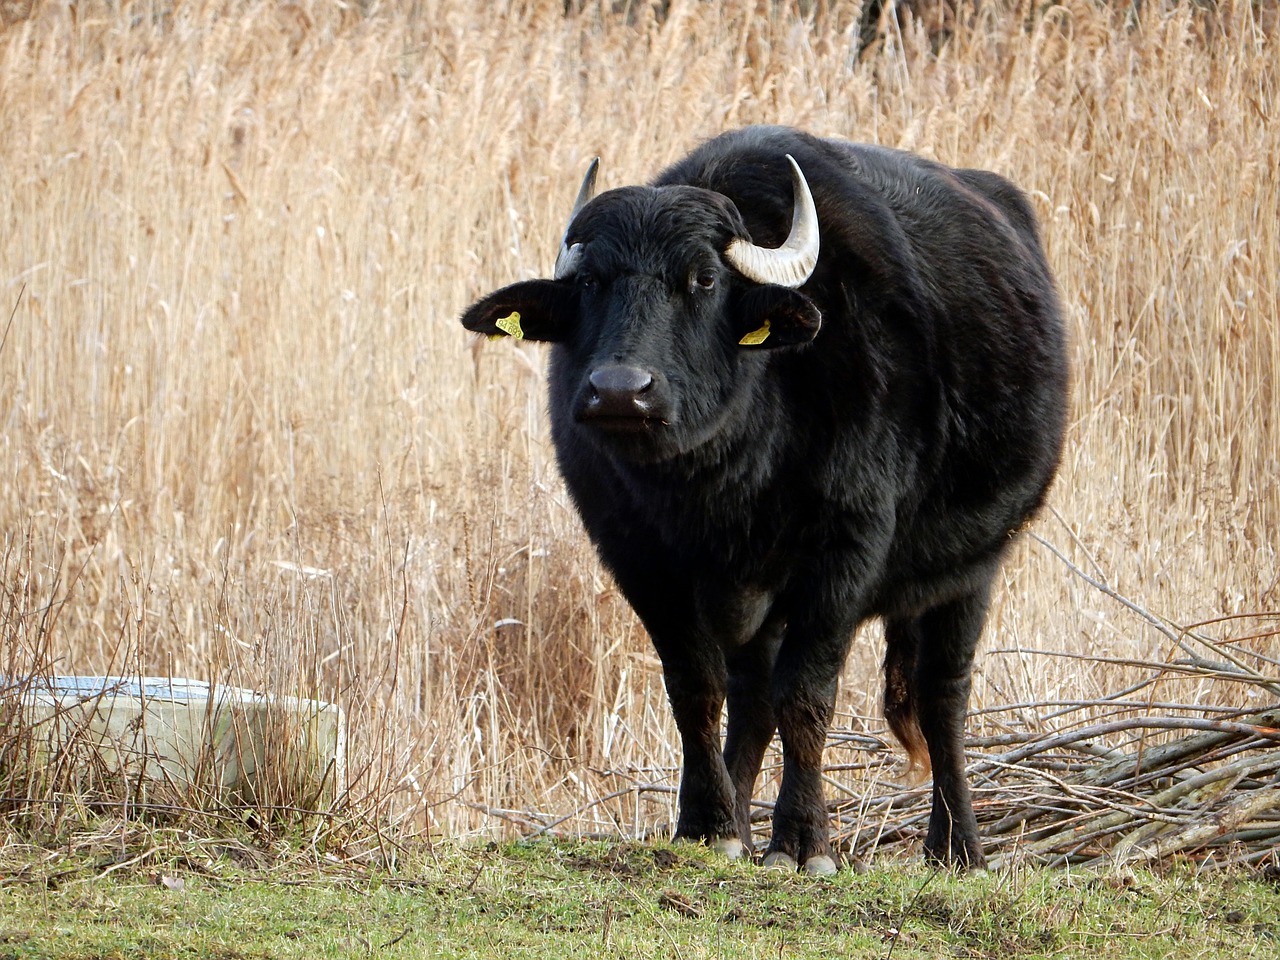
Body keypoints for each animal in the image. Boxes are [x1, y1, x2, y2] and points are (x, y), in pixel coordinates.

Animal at [461, 125, 1069, 873]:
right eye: (590, 282)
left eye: (704, 279)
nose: (620, 391)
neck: (722, 480)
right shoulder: (639, 559)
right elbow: (696, 688)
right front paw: (708, 825)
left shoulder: (845, 553)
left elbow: (806, 695)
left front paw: (804, 841)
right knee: (751, 697)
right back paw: (740, 826)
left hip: (975, 567)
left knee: (941, 698)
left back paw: (957, 847)